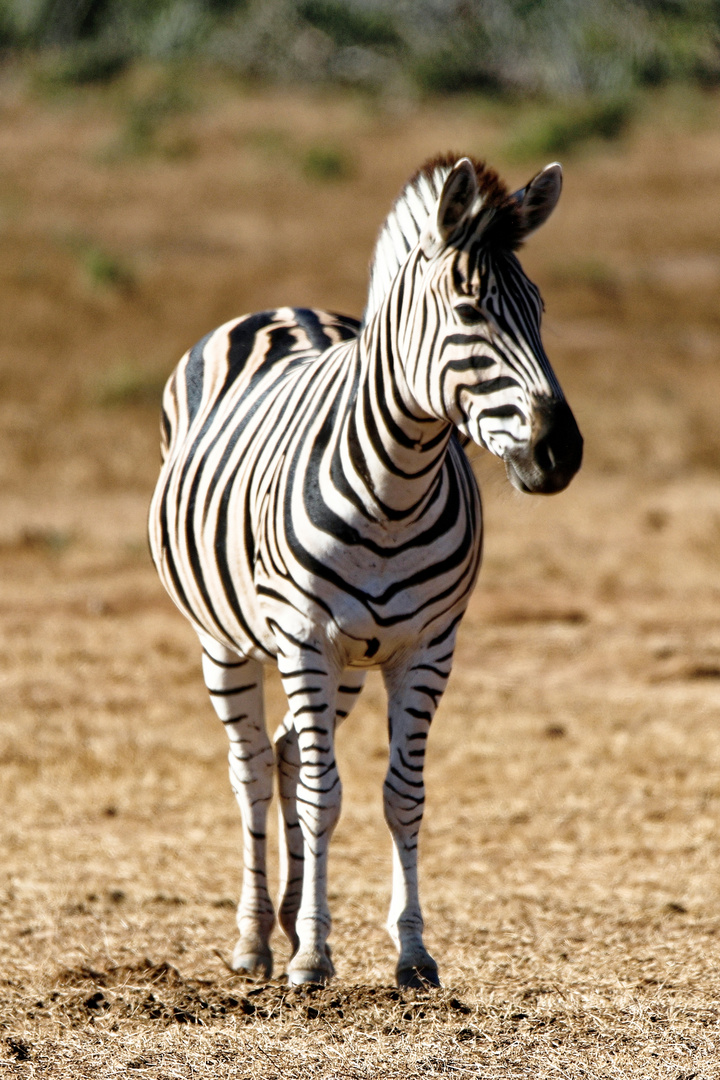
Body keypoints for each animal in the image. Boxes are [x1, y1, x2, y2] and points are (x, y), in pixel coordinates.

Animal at [148, 152, 582, 989]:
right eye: (469, 312)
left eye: (541, 309)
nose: (561, 452)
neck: (396, 486)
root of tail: (286, 309)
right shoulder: (305, 636)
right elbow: (324, 797)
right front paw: (314, 955)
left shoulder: (426, 647)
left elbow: (400, 795)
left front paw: (411, 953)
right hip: (230, 641)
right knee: (254, 770)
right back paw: (256, 940)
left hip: (349, 661)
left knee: (286, 751)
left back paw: (286, 918)